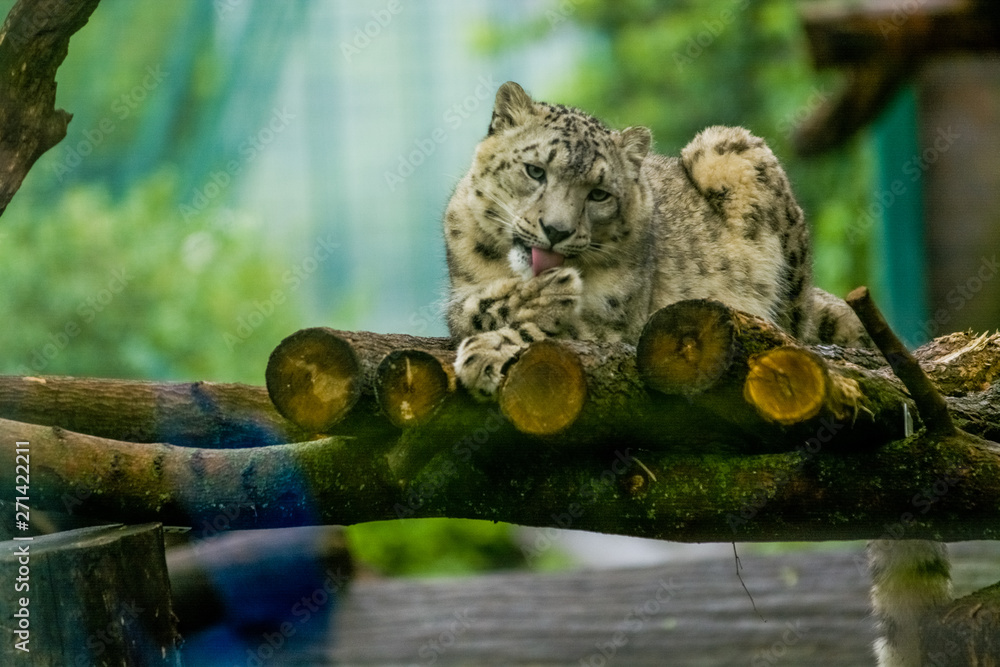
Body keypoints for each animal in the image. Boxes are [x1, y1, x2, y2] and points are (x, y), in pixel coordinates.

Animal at [442, 81, 944, 666]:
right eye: (535, 170)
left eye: (599, 194)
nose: (557, 231)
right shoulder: (461, 294)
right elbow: (474, 307)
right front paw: (518, 308)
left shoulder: (618, 329)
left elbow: (562, 329)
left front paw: (498, 346)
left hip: (738, 162)